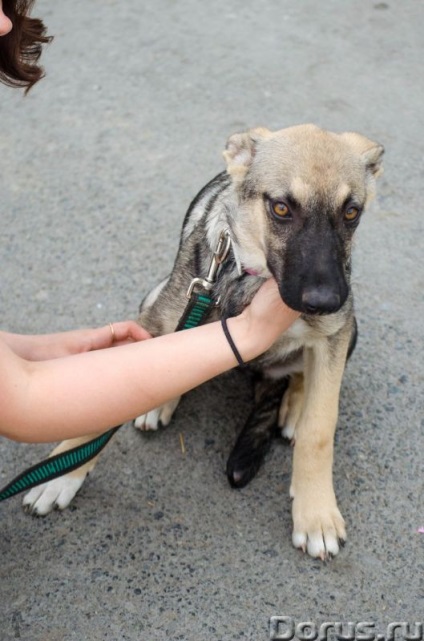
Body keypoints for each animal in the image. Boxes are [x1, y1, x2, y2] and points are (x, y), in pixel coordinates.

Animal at [23, 125, 384, 560]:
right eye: (281, 208)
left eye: (351, 212)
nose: (327, 301)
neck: (252, 278)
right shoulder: (157, 318)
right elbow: (98, 406)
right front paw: (60, 474)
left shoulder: (335, 334)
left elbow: (320, 427)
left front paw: (316, 513)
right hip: (155, 297)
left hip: (351, 330)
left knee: (297, 377)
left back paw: (294, 406)